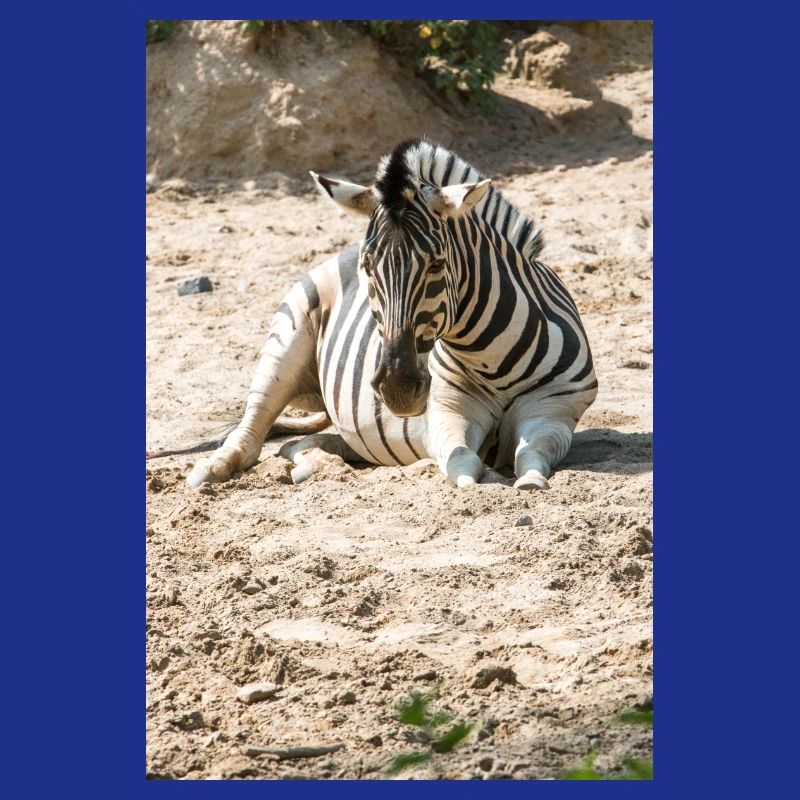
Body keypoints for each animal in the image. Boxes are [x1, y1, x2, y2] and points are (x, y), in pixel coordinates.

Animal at [185, 138, 597, 490]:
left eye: (437, 264)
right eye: (368, 267)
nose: (396, 388)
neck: (489, 357)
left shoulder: (555, 410)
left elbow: (531, 454)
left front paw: (529, 481)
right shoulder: (447, 411)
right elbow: (464, 463)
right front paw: (482, 479)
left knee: (303, 444)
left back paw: (315, 465)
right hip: (285, 340)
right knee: (253, 424)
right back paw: (211, 469)